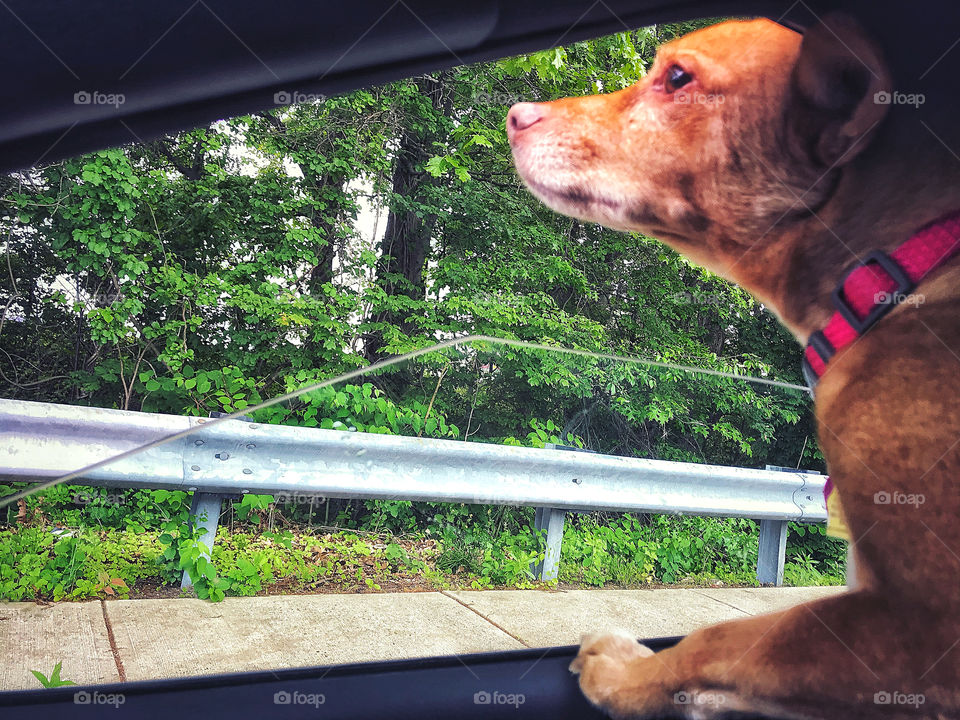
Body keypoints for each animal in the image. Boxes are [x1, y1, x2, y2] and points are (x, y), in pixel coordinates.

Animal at [506, 11, 960, 720]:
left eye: (678, 77)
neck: (899, 267)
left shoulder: (916, 620)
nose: (515, 114)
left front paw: (625, 674)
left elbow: (722, 636)